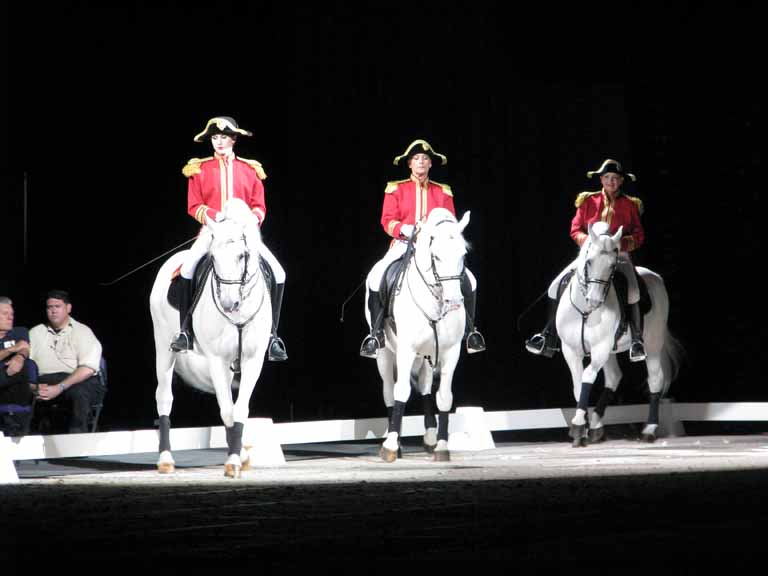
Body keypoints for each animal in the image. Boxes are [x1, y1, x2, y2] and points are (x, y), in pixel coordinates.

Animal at [148, 198, 272, 476]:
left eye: (242, 255)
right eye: (213, 257)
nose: (228, 304)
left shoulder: (253, 359)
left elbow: (239, 409)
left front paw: (239, 457)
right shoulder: (216, 358)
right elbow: (227, 411)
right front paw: (233, 460)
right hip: (163, 346)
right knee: (164, 397)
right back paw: (165, 459)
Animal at [368, 208, 472, 464]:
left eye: (463, 254)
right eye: (436, 256)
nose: (454, 303)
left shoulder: (451, 352)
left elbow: (444, 396)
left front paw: (442, 446)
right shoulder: (405, 350)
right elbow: (401, 391)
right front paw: (391, 445)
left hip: (425, 355)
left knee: (425, 387)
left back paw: (430, 437)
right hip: (385, 355)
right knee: (389, 390)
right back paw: (395, 442)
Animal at [560, 222, 684, 446]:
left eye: (612, 265)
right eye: (589, 261)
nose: (594, 300)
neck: (585, 312)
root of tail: (655, 277)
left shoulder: (600, 348)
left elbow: (587, 377)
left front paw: (578, 426)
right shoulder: (570, 350)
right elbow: (577, 385)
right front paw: (583, 426)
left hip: (652, 344)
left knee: (655, 379)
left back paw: (649, 430)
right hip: (611, 351)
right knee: (614, 377)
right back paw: (596, 427)